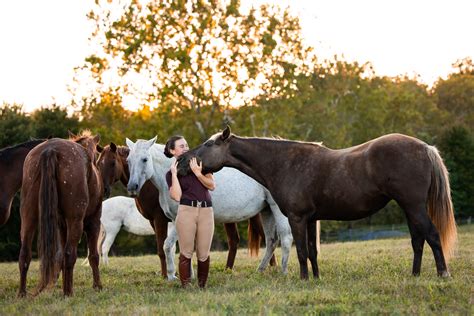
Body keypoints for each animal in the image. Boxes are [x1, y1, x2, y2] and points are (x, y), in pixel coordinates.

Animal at [18, 131, 103, 296]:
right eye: (97, 154)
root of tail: (50, 150)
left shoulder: (61, 226)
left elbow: (61, 257)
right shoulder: (93, 223)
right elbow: (93, 256)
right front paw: (98, 286)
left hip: (28, 217)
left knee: (25, 254)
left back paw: (22, 294)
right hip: (75, 222)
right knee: (70, 254)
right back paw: (68, 293)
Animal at [96, 144, 274, 278]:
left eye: (112, 163)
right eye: (98, 163)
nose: (103, 190)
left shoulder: (160, 220)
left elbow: (163, 248)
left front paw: (167, 275)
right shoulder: (159, 221)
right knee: (236, 241)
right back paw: (231, 270)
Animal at [124, 137, 318, 280]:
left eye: (144, 159)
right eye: (128, 161)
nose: (132, 187)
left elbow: (171, 246)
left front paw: (176, 276)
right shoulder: (174, 220)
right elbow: (177, 247)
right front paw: (184, 275)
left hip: (277, 210)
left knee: (285, 238)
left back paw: (283, 272)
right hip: (266, 211)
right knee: (271, 240)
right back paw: (260, 270)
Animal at [180, 126, 458, 278]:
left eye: (208, 144)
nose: (183, 162)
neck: (285, 163)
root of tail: (425, 147)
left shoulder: (297, 218)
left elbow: (301, 251)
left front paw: (303, 279)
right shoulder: (312, 219)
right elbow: (312, 252)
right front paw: (315, 278)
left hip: (414, 206)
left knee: (432, 236)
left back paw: (443, 273)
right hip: (409, 208)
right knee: (418, 241)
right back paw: (415, 274)